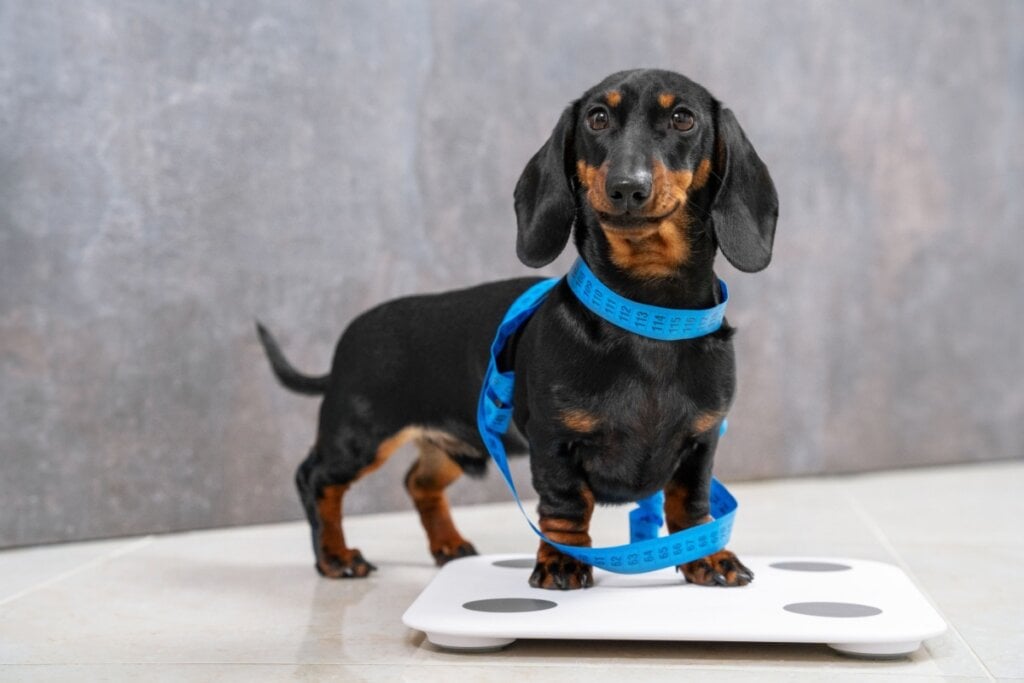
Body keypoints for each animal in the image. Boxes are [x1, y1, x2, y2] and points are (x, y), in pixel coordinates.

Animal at [256, 70, 774, 593]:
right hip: (358, 435)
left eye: (683, 118)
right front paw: (560, 561)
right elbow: (565, 508)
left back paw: (447, 545)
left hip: (453, 440)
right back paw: (335, 555)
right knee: (315, 479)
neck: (646, 314)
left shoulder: (701, 444)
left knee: (418, 482)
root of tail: (346, 344)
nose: (627, 188)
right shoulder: (554, 442)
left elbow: (691, 507)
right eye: (597, 118)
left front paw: (709, 558)